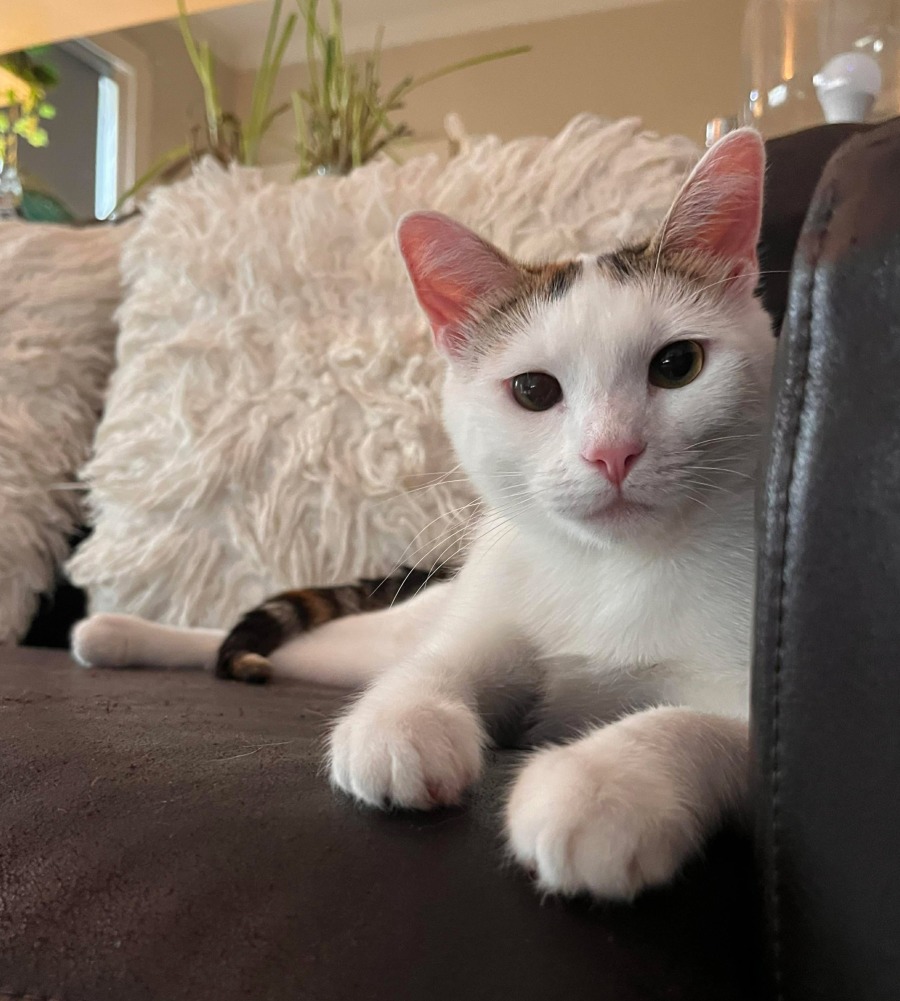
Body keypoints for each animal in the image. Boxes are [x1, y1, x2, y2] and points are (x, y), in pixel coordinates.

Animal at [72, 127, 774, 901]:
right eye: (533, 390)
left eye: (678, 365)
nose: (611, 452)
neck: (609, 568)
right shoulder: (486, 620)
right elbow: (439, 662)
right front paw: (401, 725)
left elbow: (700, 725)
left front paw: (604, 786)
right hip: (393, 625)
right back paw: (115, 631)